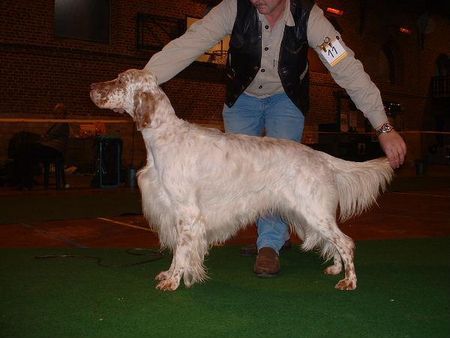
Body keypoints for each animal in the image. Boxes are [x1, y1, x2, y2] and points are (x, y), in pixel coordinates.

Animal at [89, 68, 392, 290]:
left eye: (120, 80)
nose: (91, 87)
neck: (164, 136)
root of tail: (320, 155)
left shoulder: (187, 214)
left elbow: (181, 252)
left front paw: (173, 281)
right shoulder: (175, 213)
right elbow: (180, 252)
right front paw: (170, 275)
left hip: (314, 212)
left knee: (345, 242)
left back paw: (349, 281)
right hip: (312, 215)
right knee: (334, 242)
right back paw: (335, 269)